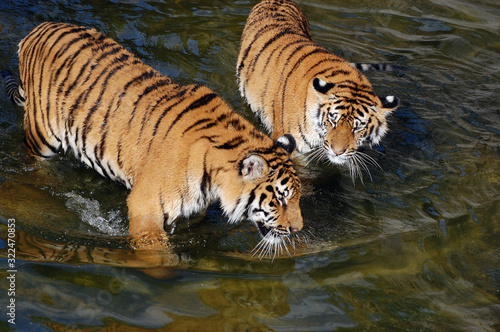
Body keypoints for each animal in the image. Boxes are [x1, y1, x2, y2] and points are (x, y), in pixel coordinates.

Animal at [3, 22, 302, 253]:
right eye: (280, 200)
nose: (298, 229)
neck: (215, 177)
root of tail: (39, 29)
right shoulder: (144, 205)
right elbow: (154, 250)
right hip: (41, 137)